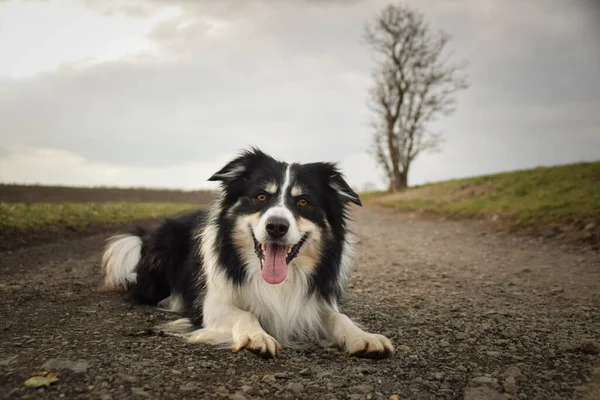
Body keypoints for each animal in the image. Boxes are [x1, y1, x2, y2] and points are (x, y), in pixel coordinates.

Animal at [102, 148, 394, 360]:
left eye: (303, 201)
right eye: (261, 196)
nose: (276, 226)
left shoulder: (313, 301)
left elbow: (339, 317)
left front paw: (363, 337)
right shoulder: (212, 305)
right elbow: (245, 314)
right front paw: (256, 336)